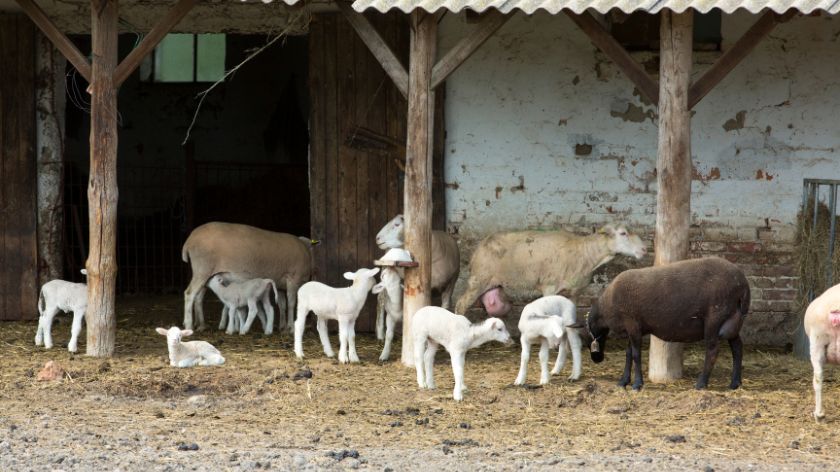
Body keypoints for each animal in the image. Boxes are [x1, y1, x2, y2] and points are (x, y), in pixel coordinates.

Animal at [183, 223, 312, 334]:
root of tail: (190, 240)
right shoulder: (293, 278)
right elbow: (291, 304)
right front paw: (291, 328)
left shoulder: (280, 284)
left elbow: (282, 305)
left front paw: (283, 326)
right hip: (202, 269)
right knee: (189, 294)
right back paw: (189, 324)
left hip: (206, 274)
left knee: (198, 298)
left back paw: (201, 325)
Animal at [456, 225, 648, 318]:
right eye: (623, 233)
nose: (645, 249)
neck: (584, 252)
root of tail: (478, 248)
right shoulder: (549, 287)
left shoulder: (574, 293)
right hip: (478, 280)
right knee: (460, 304)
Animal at [588, 256, 752, 390]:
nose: (597, 359)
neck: (606, 306)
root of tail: (743, 283)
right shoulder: (633, 328)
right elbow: (629, 354)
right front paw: (623, 381)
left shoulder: (632, 323)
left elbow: (635, 355)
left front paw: (637, 384)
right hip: (732, 320)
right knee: (737, 348)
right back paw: (735, 383)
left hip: (715, 318)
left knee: (712, 350)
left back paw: (701, 383)